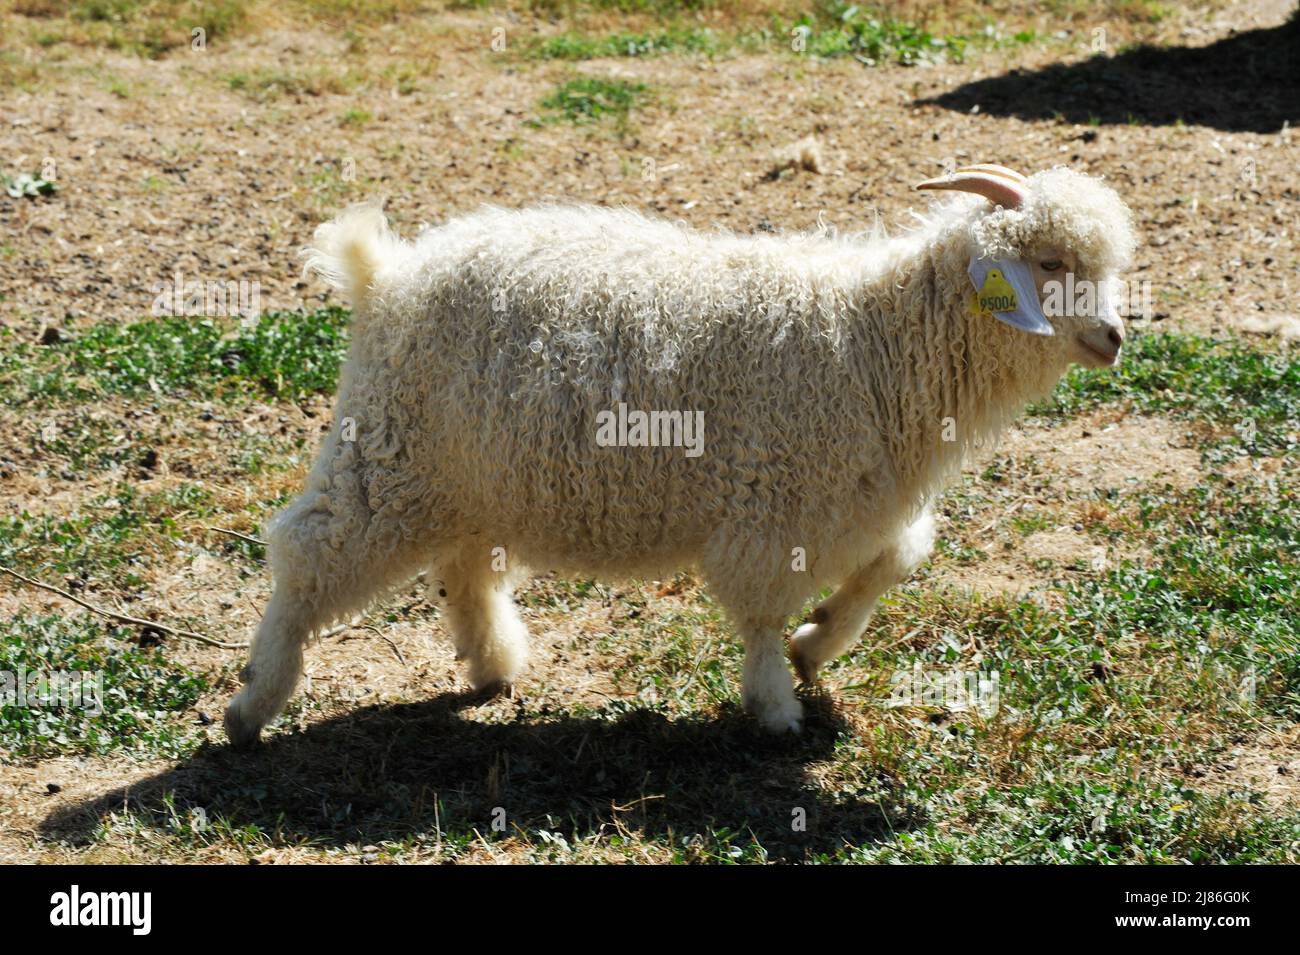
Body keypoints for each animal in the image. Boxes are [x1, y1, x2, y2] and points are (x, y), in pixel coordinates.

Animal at [226, 166, 1138, 748]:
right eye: (1049, 262)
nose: (1114, 337)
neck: (874, 338)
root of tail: (386, 275)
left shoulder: (858, 495)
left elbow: (898, 559)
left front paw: (819, 641)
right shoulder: (774, 501)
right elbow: (762, 612)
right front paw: (776, 705)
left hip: (470, 471)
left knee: (465, 567)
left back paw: (491, 665)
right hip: (388, 451)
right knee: (310, 551)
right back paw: (252, 703)